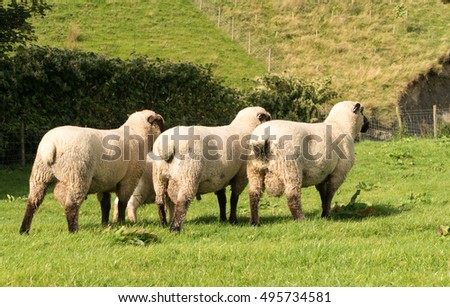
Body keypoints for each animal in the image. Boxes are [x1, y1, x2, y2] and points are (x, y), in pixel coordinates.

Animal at [19, 109, 164, 235]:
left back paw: (24, 230)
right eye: (160, 122)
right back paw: (73, 231)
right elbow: (122, 203)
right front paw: (122, 222)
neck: (138, 134)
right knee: (71, 206)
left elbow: (105, 204)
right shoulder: (129, 179)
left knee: (32, 203)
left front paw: (105, 224)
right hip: (78, 176)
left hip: (40, 175)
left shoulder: (105, 181)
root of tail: (51, 145)